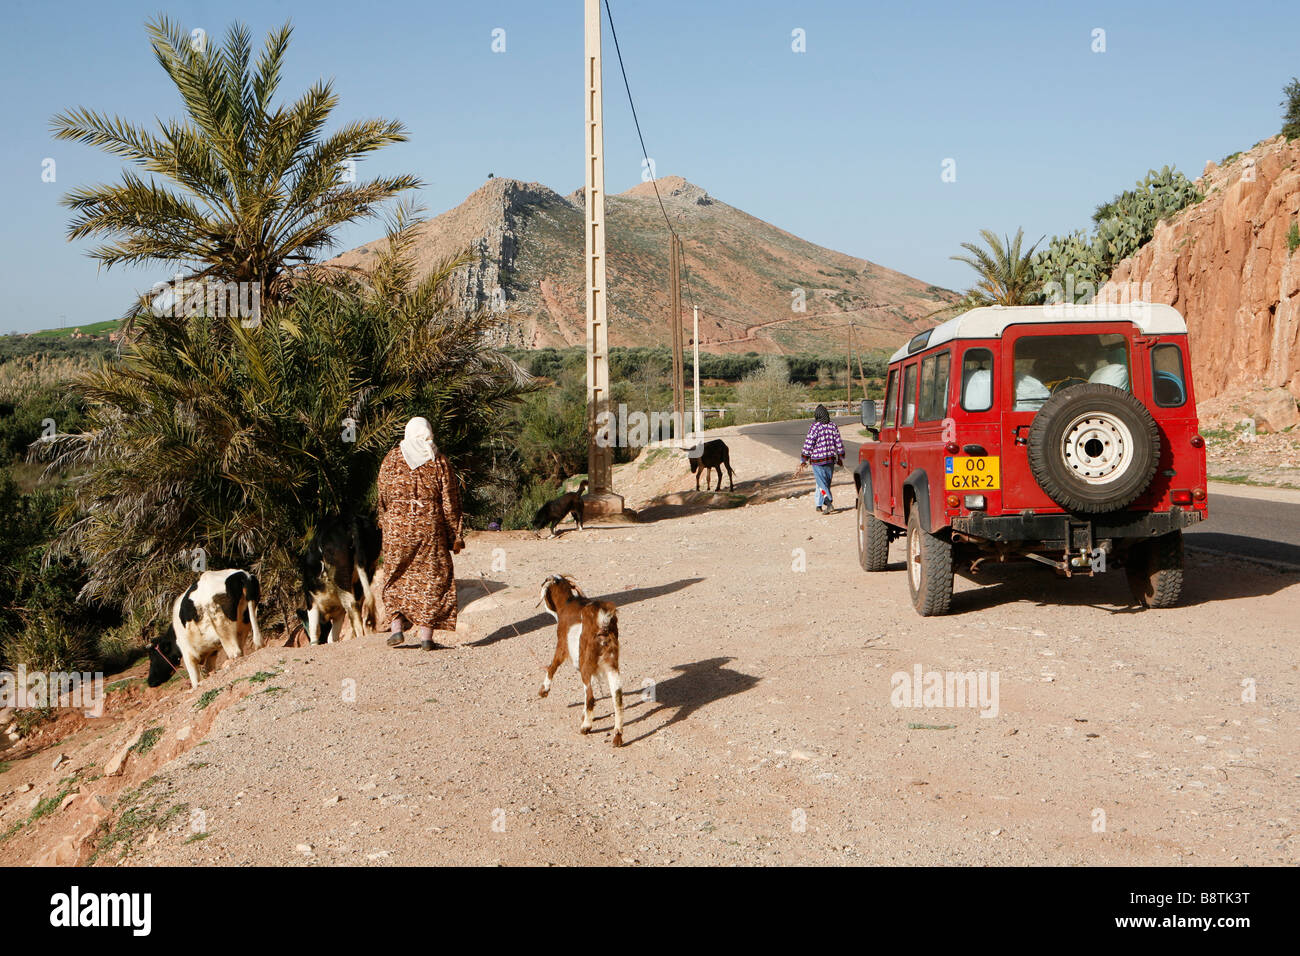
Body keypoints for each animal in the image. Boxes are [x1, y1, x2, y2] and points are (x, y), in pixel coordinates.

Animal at [535, 574, 621, 749]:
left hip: (586, 662)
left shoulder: (562, 644)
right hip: (611, 664)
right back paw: (617, 736)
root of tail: (603, 622)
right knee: (617, 698)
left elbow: (552, 666)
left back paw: (586, 727)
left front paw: (544, 690)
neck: (567, 603)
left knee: (591, 697)